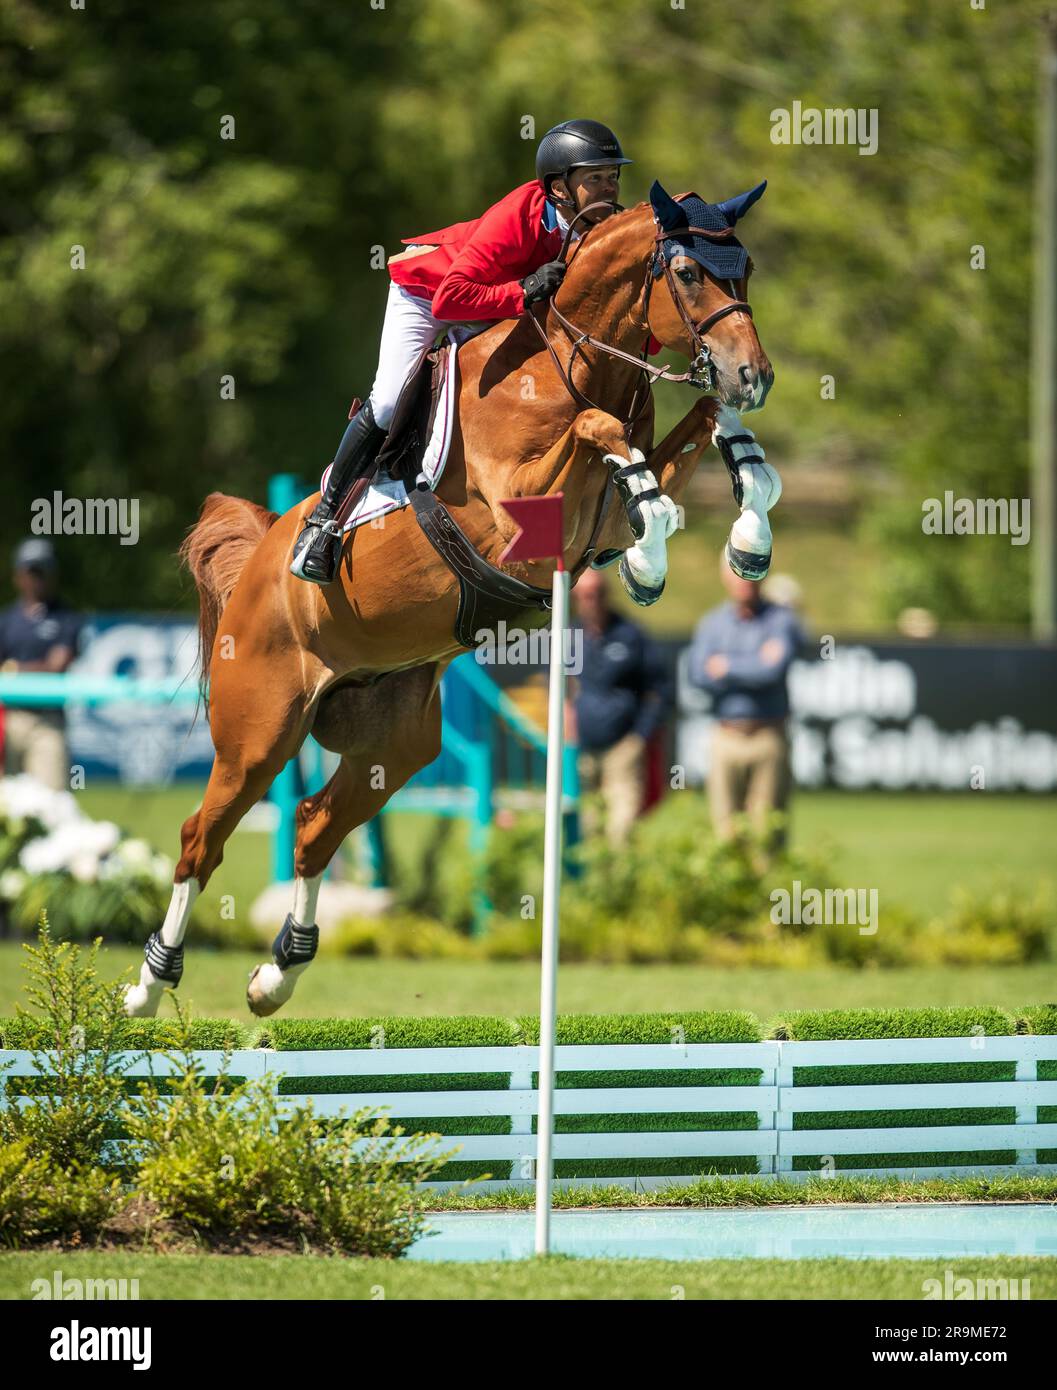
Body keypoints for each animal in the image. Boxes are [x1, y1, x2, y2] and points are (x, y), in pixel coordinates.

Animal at [125, 179, 778, 1017]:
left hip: (398, 740)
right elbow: (602, 432)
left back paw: (275, 978)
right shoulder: (520, 514)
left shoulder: (590, 524)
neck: (574, 363)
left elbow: (696, 434)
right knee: (201, 838)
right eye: (690, 273)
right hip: (258, 733)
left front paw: (737, 536)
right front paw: (651, 556)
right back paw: (148, 986)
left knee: (313, 826)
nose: (752, 377)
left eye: (746, 268)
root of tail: (256, 570)